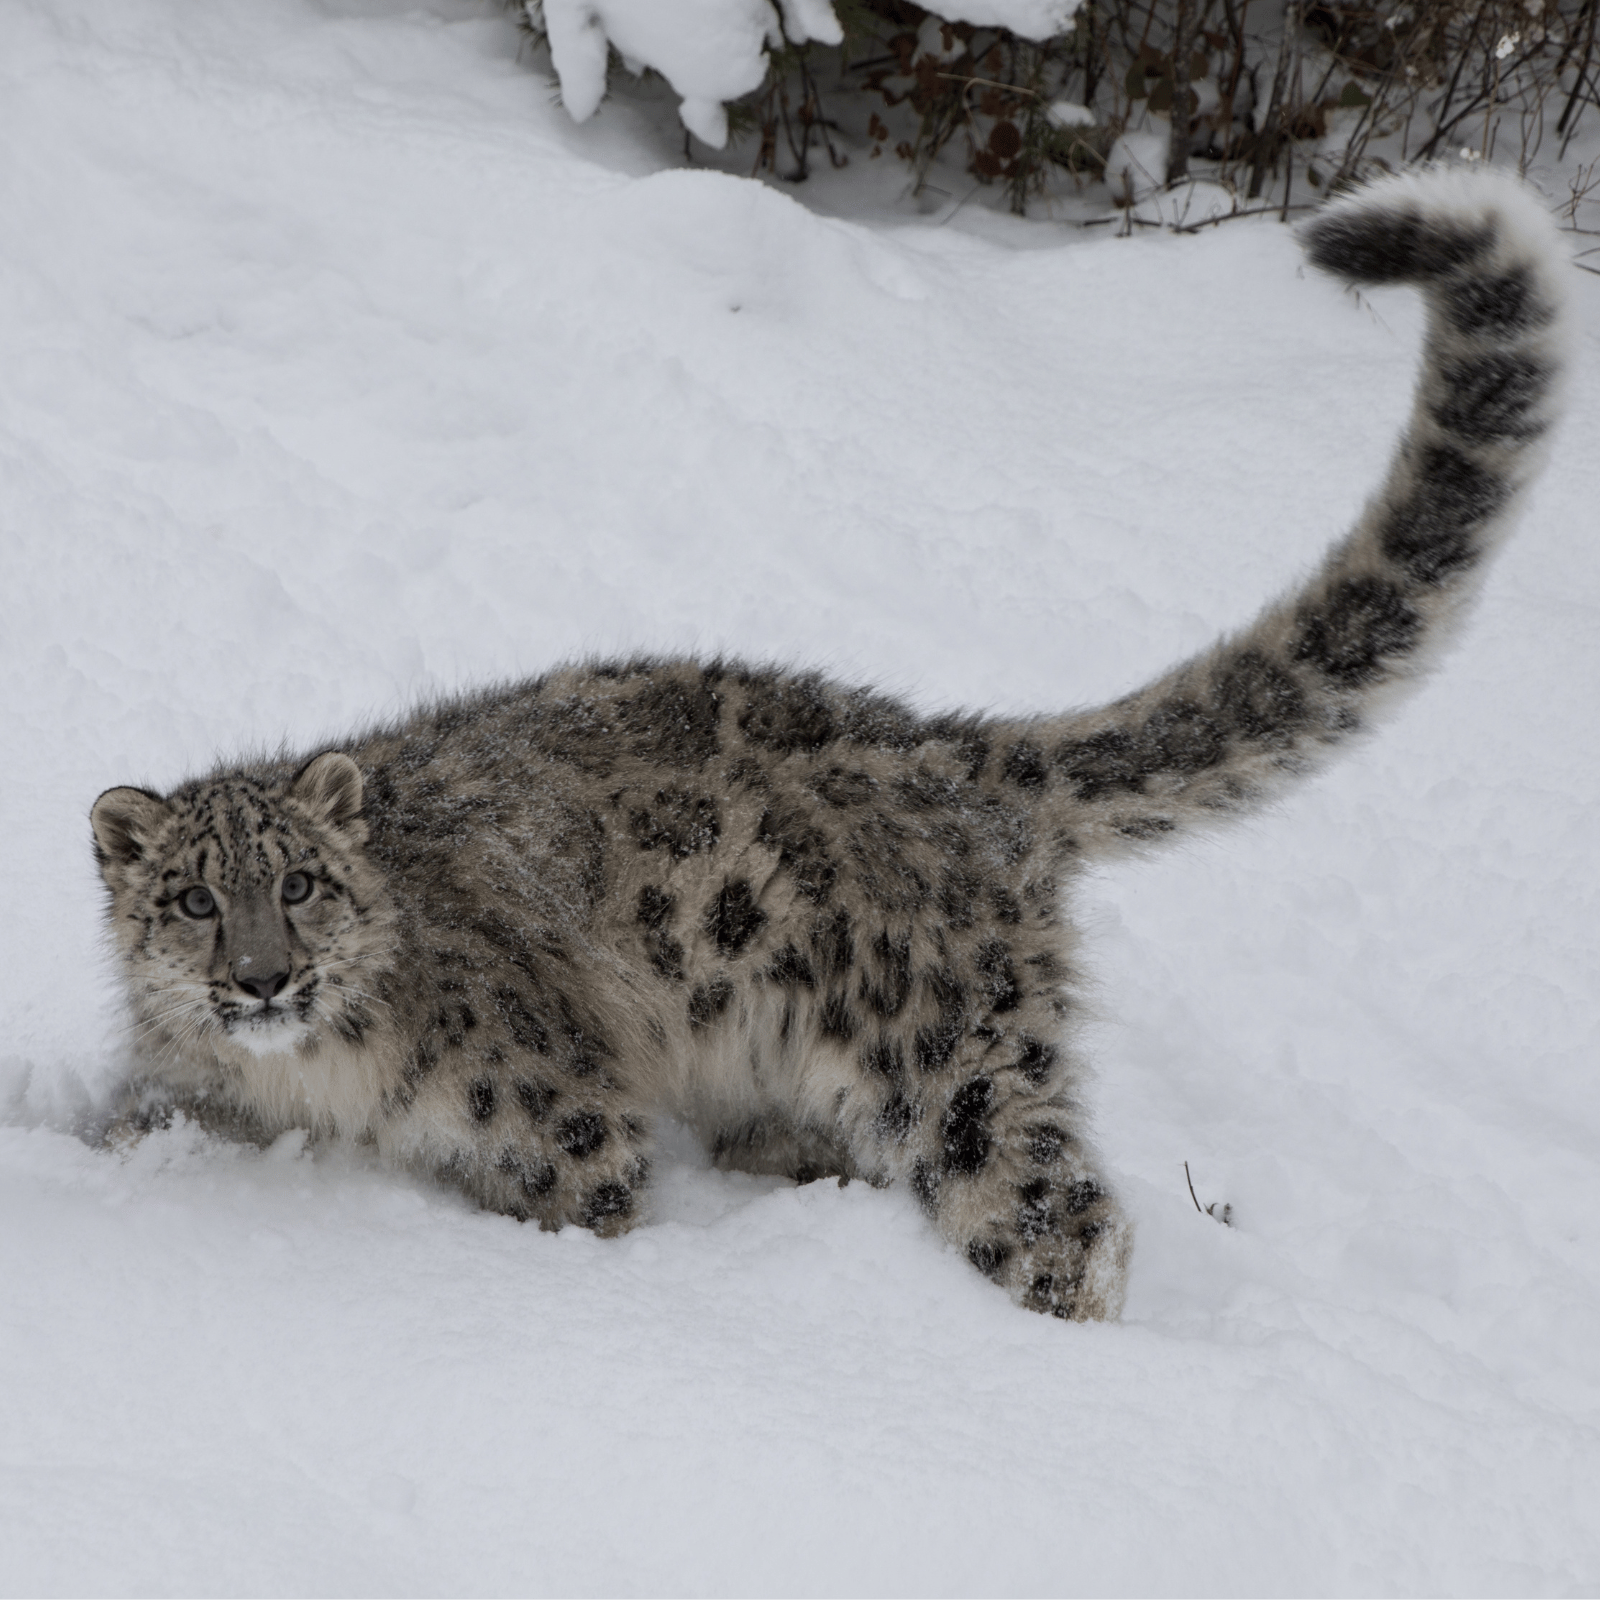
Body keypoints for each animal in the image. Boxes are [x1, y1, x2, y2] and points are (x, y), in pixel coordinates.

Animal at [89, 170, 1568, 1320]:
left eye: (299, 883)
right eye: (192, 899)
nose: (263, 979)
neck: (300, 1083)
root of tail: (969, 761)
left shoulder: (554, 1111)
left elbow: (584, 1198)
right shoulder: (187, 1089)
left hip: (956, 1069)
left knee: (1058, 1217)